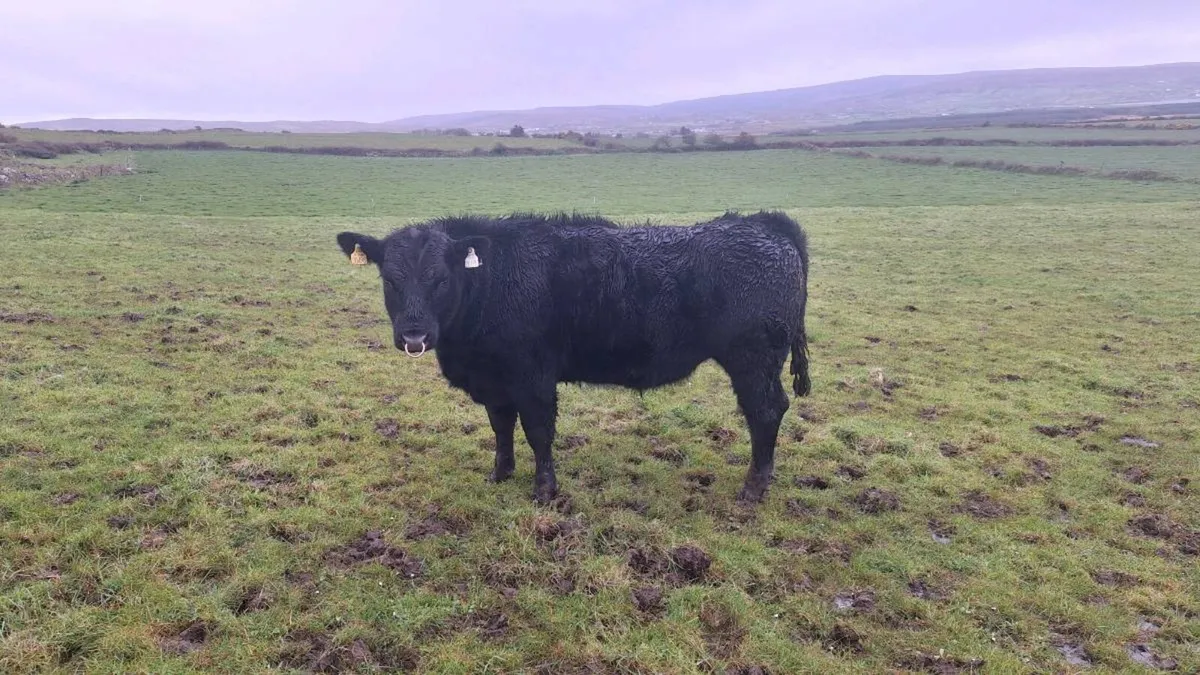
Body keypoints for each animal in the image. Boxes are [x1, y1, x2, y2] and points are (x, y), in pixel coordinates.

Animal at [336, 210, 811, 505]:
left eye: (440, 278)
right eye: (390, 279)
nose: (414, 334)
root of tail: (763, 224)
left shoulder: (533, 376)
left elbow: (538, 432)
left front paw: (544, 489)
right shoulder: (495, 380)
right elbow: (501, 427)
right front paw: (500, 473)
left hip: (753, 360)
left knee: (766, 411)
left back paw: (753, 488)